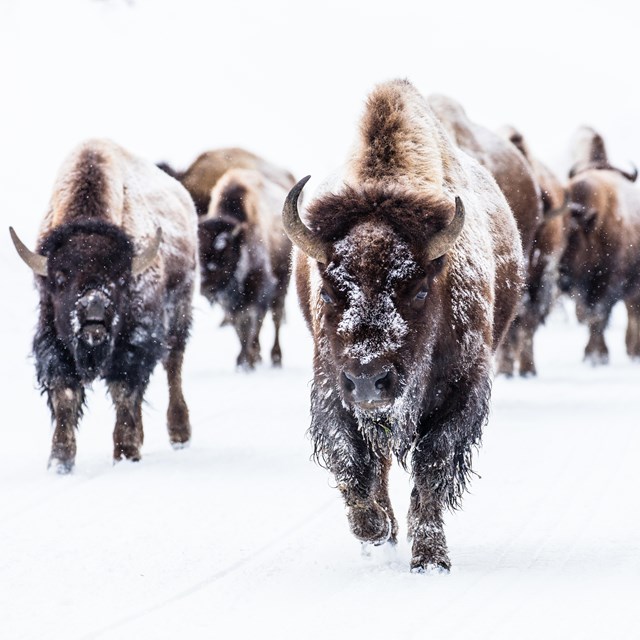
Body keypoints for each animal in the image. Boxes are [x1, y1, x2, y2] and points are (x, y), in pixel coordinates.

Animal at [9, 138, 195, 472]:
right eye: (60, 278)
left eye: (121, 278)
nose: (94, 312)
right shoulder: (54, 343)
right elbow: (65, 395)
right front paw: (60, 461)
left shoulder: (134, 345)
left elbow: (124, 392)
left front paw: (125, 452)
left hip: (179, 315)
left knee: (173, 366)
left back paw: (179, 434)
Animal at [199, 165, 294, 370]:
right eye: (197, 251)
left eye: (224, 252)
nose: (204, 287)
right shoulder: (230, 300)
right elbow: (238, 326)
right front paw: (244, 360)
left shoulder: (257, 290)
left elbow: (249, 323)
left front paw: (246, 361)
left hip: (282, 284)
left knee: (276, 316)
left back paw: (276, 357)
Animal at [282, 79, 524, 568]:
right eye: (328, 290)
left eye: (418, 290)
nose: (369, 381)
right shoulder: (332, 389)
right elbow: (351, 460)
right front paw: (375, 530)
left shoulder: (463, 391)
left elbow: (433, 464)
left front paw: (430, 558)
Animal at [556, 127, 640, 362]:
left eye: (572, 237)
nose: (560, 272)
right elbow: (592, 316)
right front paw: (593, 355)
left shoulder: (607, 284)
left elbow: (598, 317)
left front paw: (596, 356)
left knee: (633, 312)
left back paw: (634, 350)